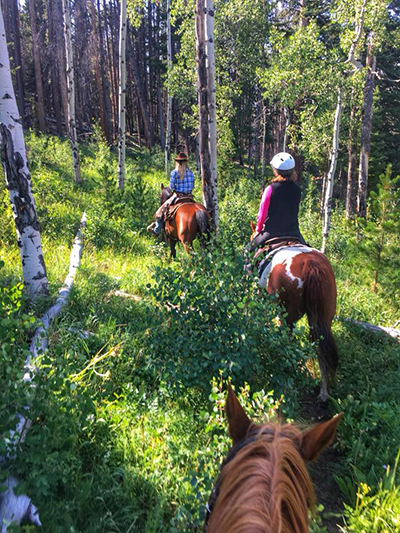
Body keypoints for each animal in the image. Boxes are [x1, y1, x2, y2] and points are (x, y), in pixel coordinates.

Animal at [250, 222, 338, 402]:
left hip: (287, 317)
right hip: (325, 317)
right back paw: (323, 391)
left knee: (288, 342)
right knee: (321, 348)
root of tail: (311, 266)